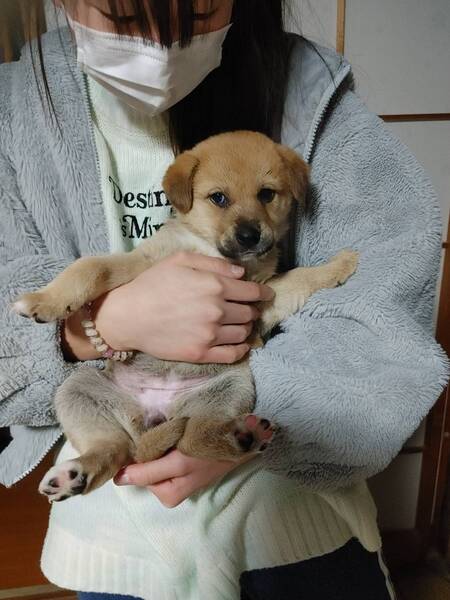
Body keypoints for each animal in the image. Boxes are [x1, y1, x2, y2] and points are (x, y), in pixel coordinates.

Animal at [14, 131, 358, 502]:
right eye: (218, 198)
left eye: (267, 194)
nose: (250, 236)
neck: (211, 250)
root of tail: (156, 413)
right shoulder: (143, 265)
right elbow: (89, 267)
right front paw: (44, 300)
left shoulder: (264, 299)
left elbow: (301, 276)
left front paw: (340, 264)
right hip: (77, 388)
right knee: (116, 448)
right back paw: (76, 473)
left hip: (231, 388)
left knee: (191, 438)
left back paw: (242, 437)